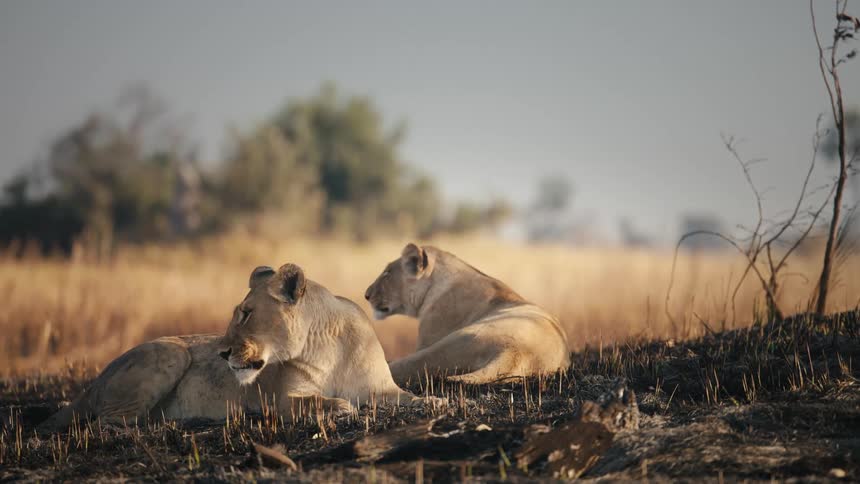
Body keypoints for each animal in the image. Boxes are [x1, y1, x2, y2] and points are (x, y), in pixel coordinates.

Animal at [40, 263, 425, 431]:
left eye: (247, 313)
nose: (222, 353)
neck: (326, 346)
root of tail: (96, 379)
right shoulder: (284, 399)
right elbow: (325, 401)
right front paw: (341, 407)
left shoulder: (381, 387)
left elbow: (410, 397)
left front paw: (432, 401)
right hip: (169, 353)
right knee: (104, 422)